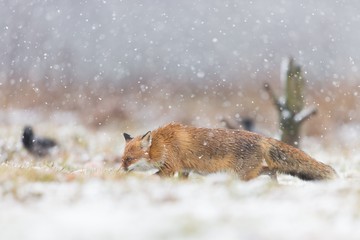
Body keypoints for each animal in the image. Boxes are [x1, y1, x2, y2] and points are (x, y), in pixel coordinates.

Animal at [121, 123, 338, 181]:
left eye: (129, 159)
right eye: (122, 159)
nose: (120, 171)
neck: (163, 144)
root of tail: (262, 138)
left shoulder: (170, 167)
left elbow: (153, 178)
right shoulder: (184, 170)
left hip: (242, 175)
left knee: (271, 171)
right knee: (272, 170)